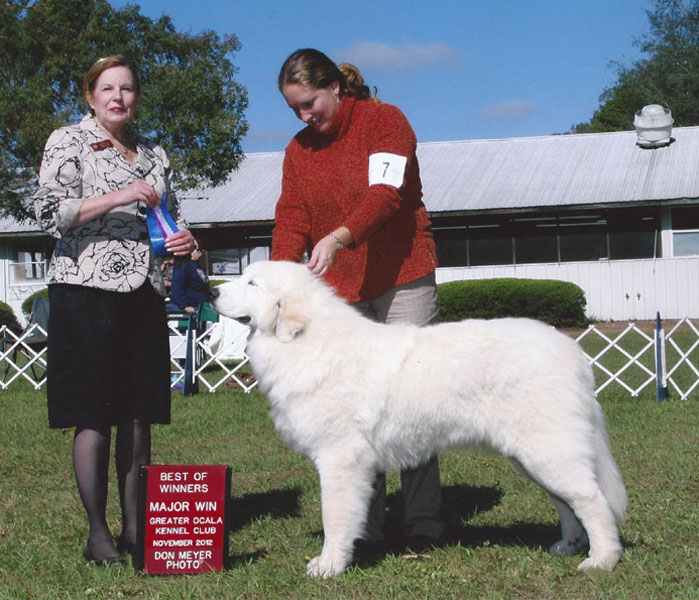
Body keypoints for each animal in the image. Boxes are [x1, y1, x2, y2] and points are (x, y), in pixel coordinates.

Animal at [211, 260, 628, 580]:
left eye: (252, 283)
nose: (211, 294)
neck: (306, 340)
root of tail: (571, 351)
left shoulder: (339, 460)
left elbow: (335, 516)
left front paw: (329, 566)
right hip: (532, 455)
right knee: (566, 502)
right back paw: (568, 545)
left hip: (548, 450)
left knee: (593, 501)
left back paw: (602, 560)